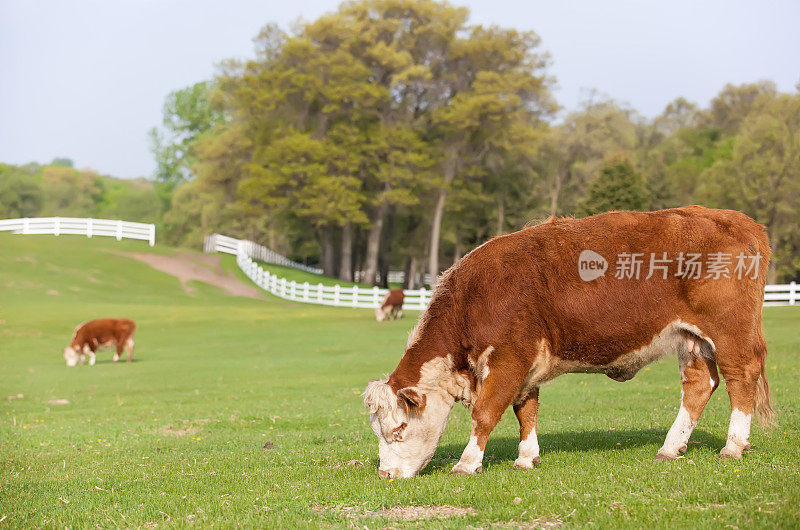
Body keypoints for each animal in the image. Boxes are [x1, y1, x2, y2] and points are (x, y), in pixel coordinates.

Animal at [364, 207, 776, 478]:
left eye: (398, 429)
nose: (385, 475)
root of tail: (740, 220)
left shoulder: (508, 359)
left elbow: (485, 413)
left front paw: (467, 463)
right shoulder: (525, 365)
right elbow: (525, 410)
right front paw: (526, 457)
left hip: (730, 333)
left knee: (741, 378)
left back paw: (733, 446)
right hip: (692, 340)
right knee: (699, 385)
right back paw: (670, 448)